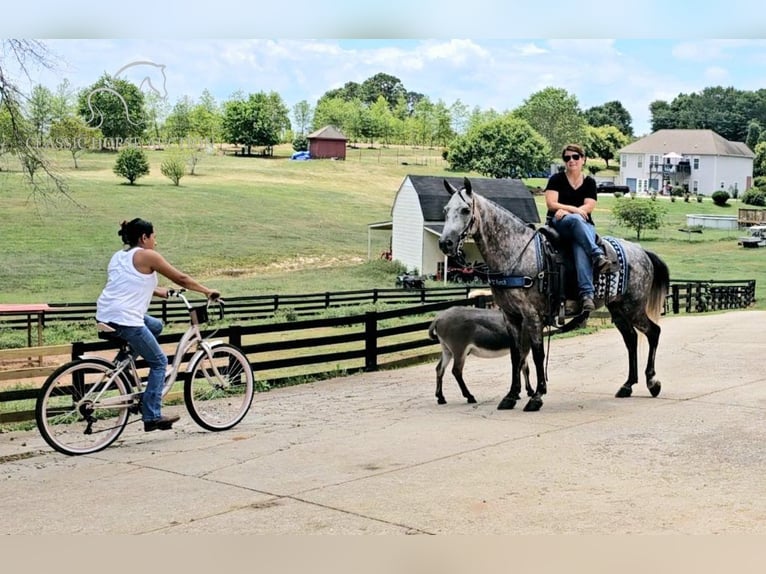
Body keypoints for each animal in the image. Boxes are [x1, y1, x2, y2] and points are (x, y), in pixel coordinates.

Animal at [438, 178, 672, 412]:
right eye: (446, 210)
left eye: (465, 210)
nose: (445, 243)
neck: (516, 252)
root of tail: (641, 251)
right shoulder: (511, 316)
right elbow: (516, 356)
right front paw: (511, 395)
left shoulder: (532, 316)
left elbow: (537, 354)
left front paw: (537, 396)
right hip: (618, 308)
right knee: (631, 339)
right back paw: (628, 385)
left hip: (634, 307)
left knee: (654, 332)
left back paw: (652, 382)